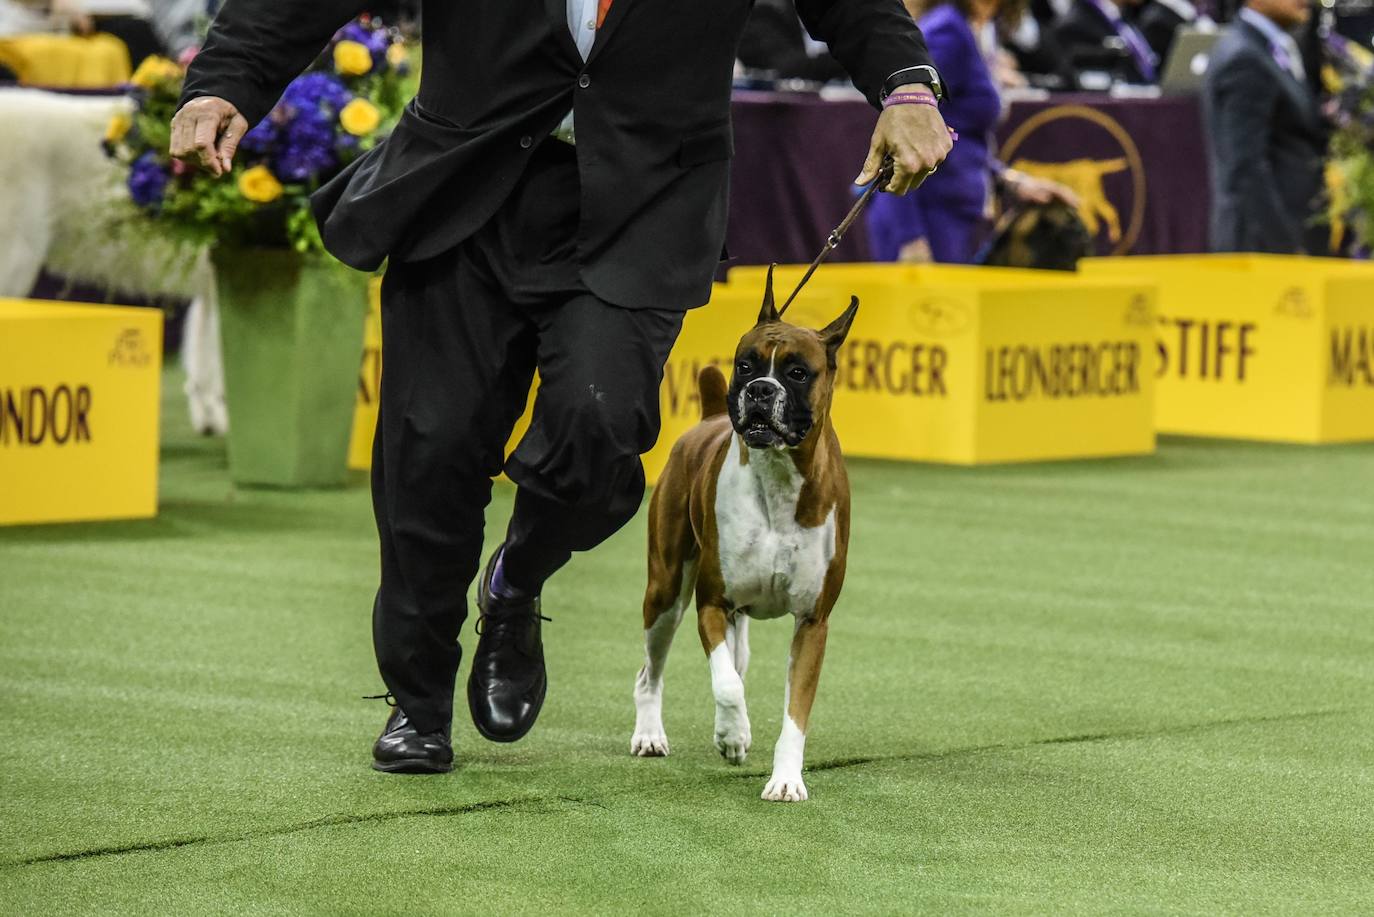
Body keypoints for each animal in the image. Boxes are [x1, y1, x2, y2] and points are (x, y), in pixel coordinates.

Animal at [629, 266, 846, 802]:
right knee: (652, 671)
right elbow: (727, 685)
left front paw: (786, 779)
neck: (780, 480)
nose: (761, 390)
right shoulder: (712, 603)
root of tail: (706, 415)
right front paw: (733, 736)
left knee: (736, 658)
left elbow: (795, 712)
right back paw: (650, 734)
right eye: (745, 365)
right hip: (665, 593)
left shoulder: (812, 622)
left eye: (797, 372)